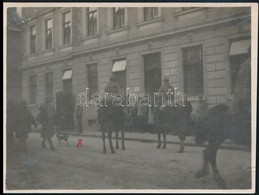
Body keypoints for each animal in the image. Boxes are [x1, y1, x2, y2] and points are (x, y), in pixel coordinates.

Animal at [195, 56, 252, 189]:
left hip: (216, 139)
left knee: (207, 152)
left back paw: (204, 172)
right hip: (216, 138)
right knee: (210, 154)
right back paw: (220, 181)